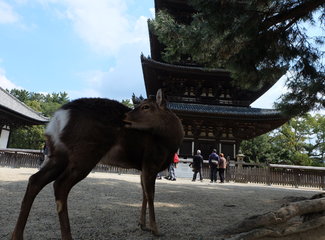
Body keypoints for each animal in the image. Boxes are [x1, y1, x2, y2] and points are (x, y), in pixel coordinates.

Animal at [11, 89, 184, 239]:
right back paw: (67, 236)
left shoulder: (142, 168)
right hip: (86, 154)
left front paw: (142, 225)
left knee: (35, 180)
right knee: (60, 185)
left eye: (146, 106)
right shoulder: (151, 162)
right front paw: (155, 230)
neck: (168, 143)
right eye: (142, 104)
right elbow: (151, 194)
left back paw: (17, 236)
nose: (124, 116)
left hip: (58, 153)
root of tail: (59, 117)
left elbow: (143, 194)